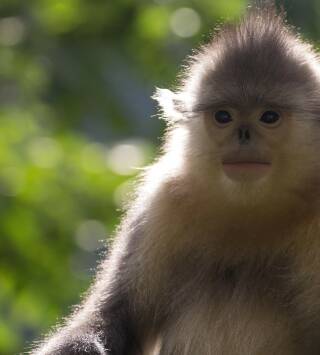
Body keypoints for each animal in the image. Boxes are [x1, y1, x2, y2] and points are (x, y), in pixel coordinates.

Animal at [30, 3, 320, 355]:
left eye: (269, 117)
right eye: (223, 116)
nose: (243, 135)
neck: (251, 206)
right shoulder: (162, 201)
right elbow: (113, 317)